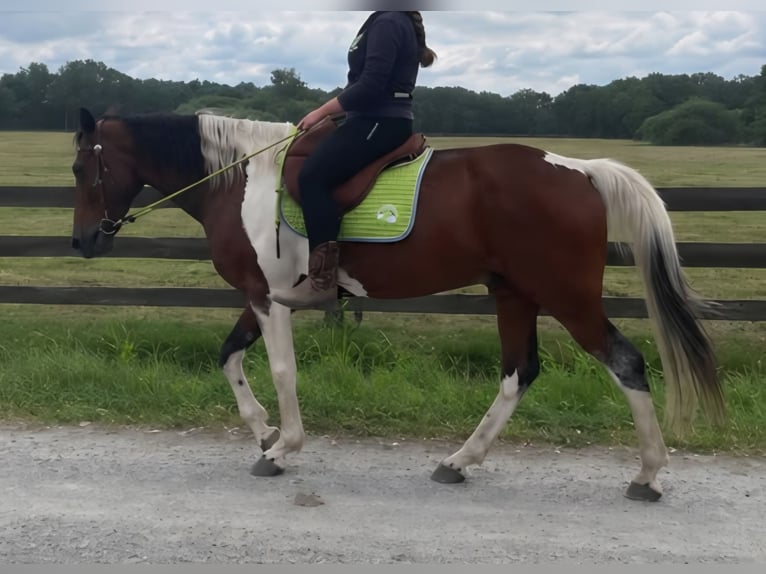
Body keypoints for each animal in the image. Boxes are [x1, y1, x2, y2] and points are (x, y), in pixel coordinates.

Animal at [70, 106, 725, 502]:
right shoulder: (262, 295)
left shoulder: (267, 297)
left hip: (566, 295)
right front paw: (263, 432)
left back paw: (648, 473)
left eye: (81, 166)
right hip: (513, 294)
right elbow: (229, 357)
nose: (80, 242)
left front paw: (282, 447)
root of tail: (580, 170)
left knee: (624, 362)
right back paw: (459, 460)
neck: (241, 183)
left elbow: (280, 371)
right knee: (519, 372)